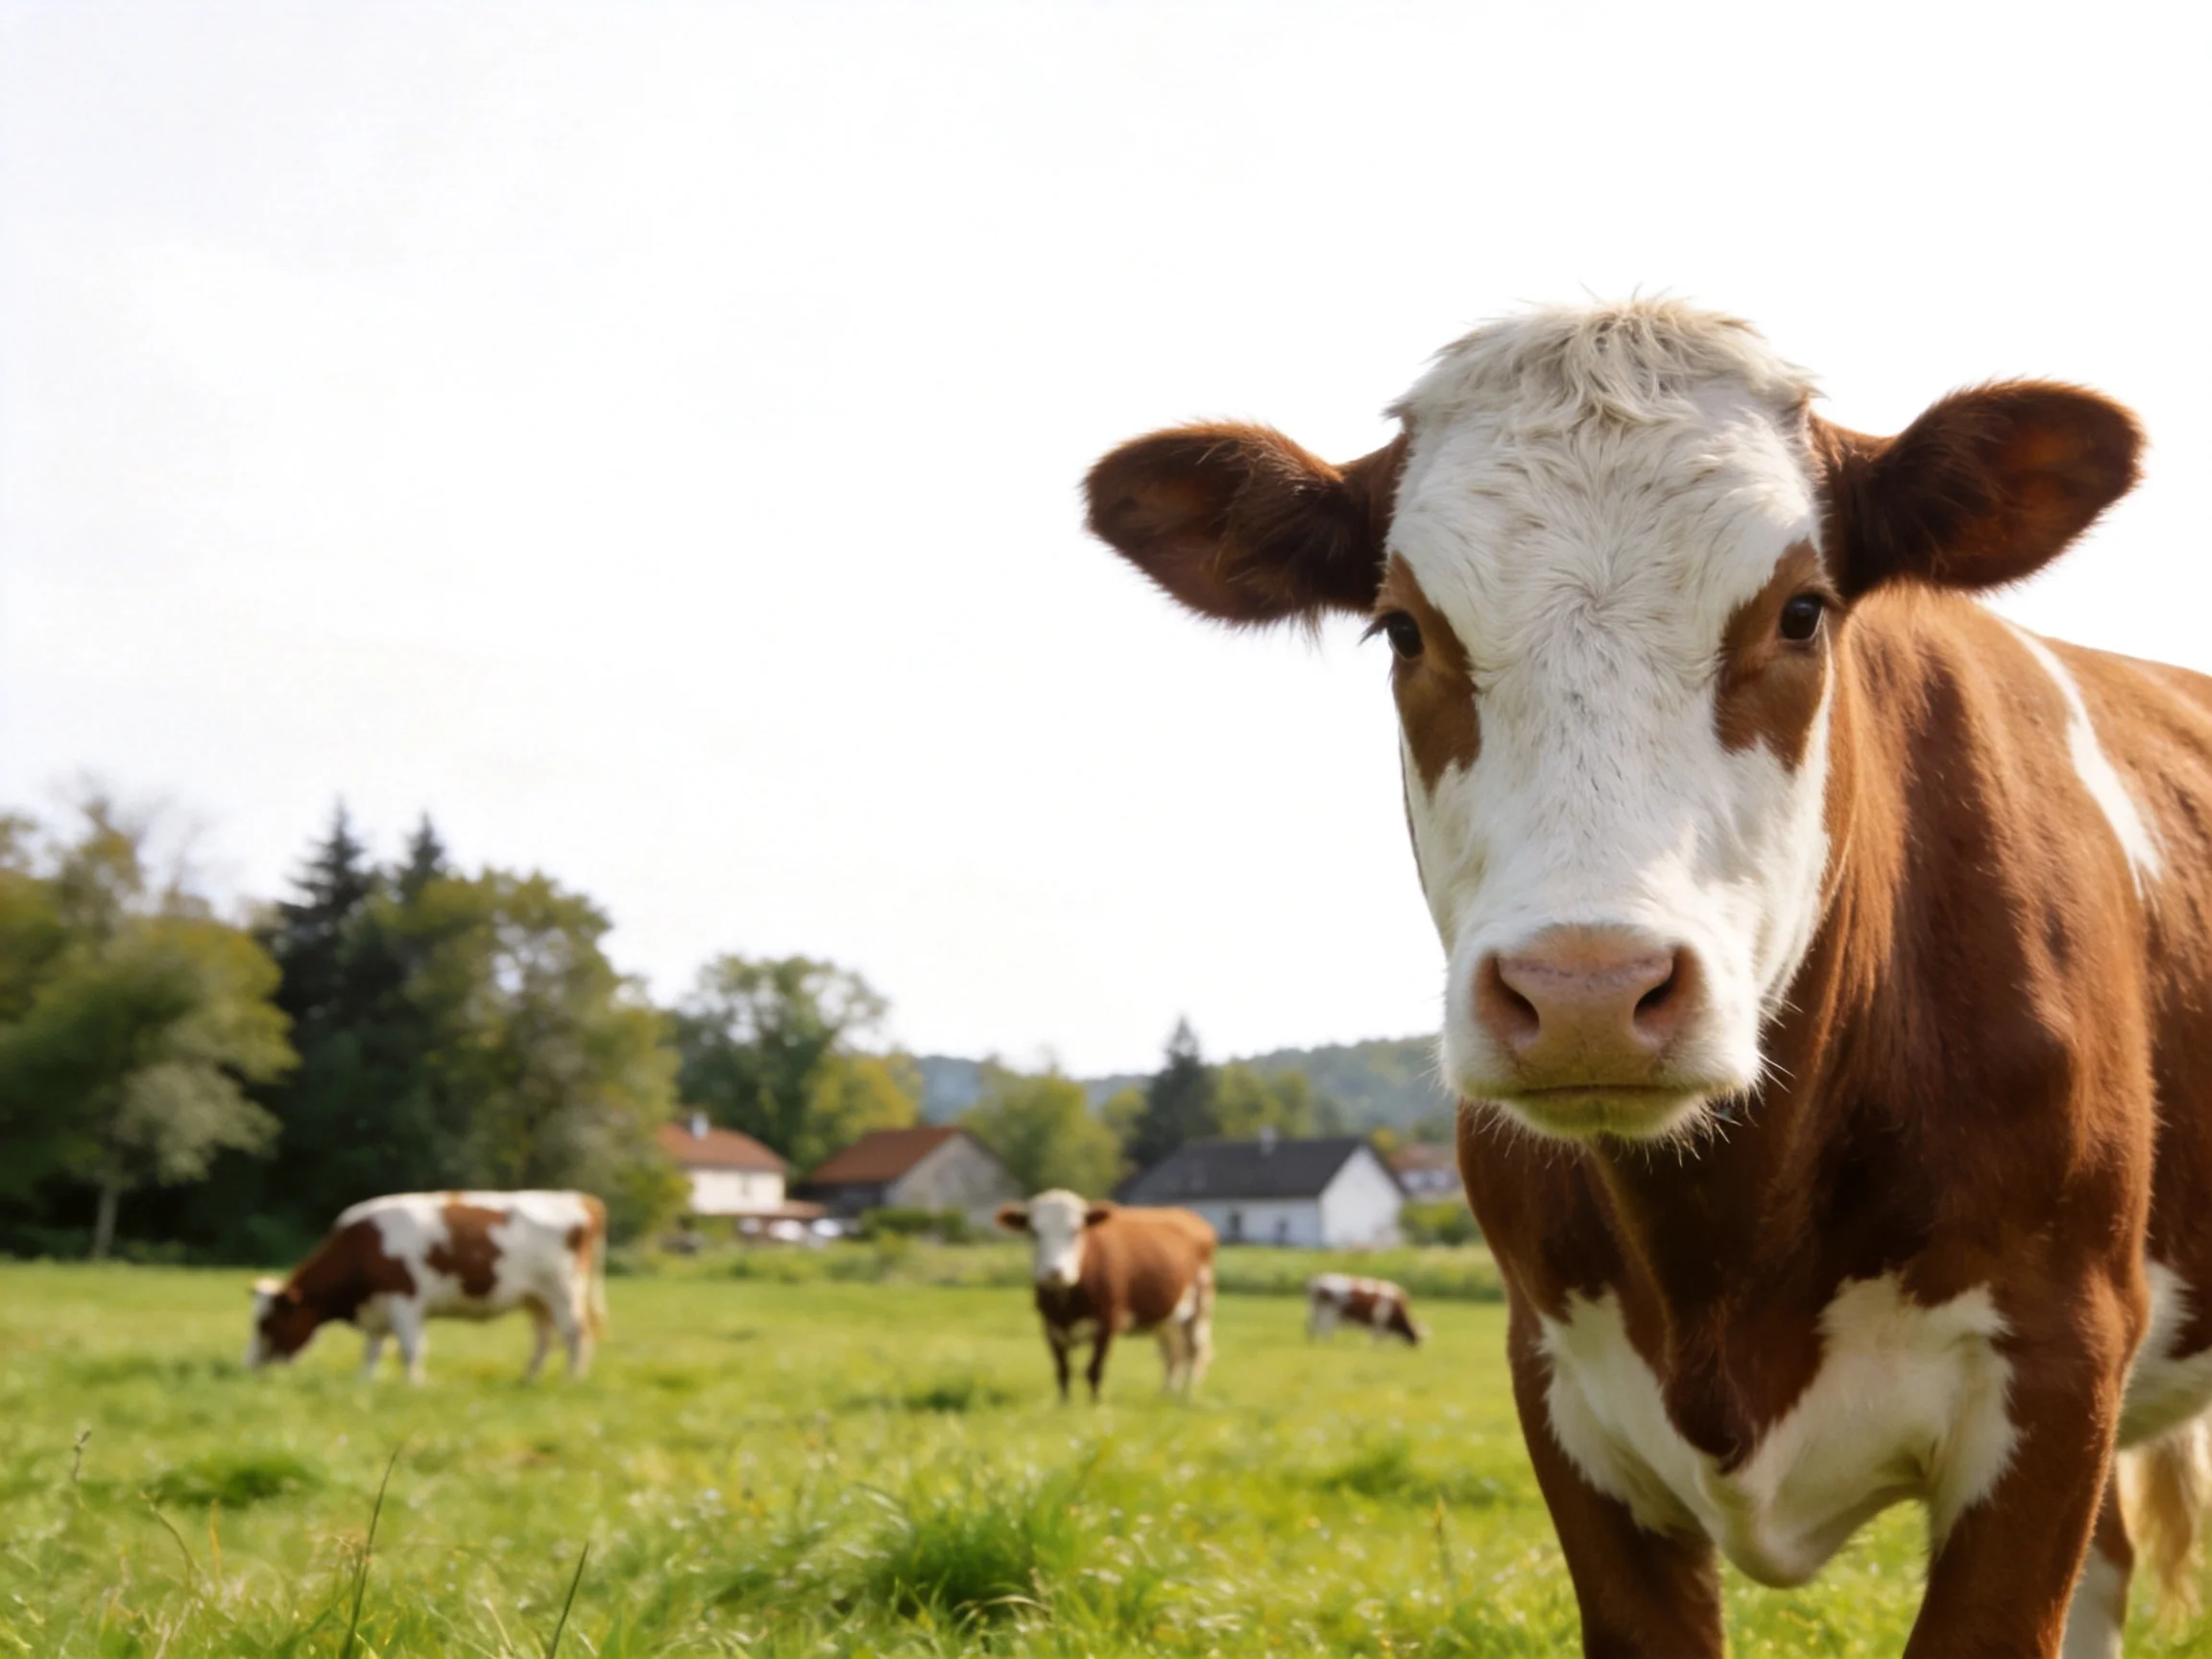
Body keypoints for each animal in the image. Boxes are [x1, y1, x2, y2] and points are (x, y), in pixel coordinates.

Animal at [246, 1191, 607, 1382]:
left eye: (268, 1323)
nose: (249, 1367)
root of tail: (581, 1199)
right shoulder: (378, 1309)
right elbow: (373, 1349)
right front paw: (366, 1381)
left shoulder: (405, 1300)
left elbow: (411, 1347)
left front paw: (413, 1384)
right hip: (536, 1298)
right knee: (545, 1336)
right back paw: (530, 1378)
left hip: (562, 1291)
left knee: (576, 1334)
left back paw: (571, 1380)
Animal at [996, 1191, 1216, 1401]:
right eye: (1034, 1232)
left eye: (1076, 1230)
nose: (1055, 1272)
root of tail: (1185, 1214)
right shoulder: (1051, 1326)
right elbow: (1063, 1371)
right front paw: (1064, 1405)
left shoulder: (1107, 1324)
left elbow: (1094, 1370)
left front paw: (1095, 1405)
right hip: (1167, 1319)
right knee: (1173, 1354)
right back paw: (1167, 1395)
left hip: (1200, 1308)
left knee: (1195, 1352)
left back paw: (1187, 1396)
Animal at [1085, 298, 2212, 1656]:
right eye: (1403, 628)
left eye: (1802, 611)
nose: (1588, 993)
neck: (1722, 1253)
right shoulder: (1560, 1387)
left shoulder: (2058, 1366)